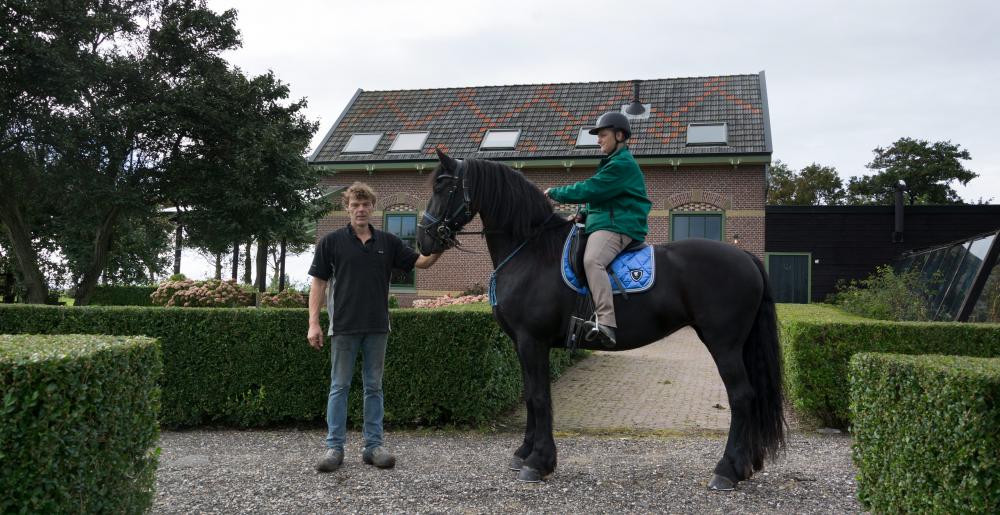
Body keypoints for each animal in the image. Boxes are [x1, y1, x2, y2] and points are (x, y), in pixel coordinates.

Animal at [418, 151, 784, 490]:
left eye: (443, 185)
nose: (424, 239)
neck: (531, 250)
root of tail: (745, 256)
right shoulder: (523, 345)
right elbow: (529, 396)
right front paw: (524, 452)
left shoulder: (532, 341)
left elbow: (539, 397)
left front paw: (539, 461)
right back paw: (746, 464)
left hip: (723, 344)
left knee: (741, 397)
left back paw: (727, 469)